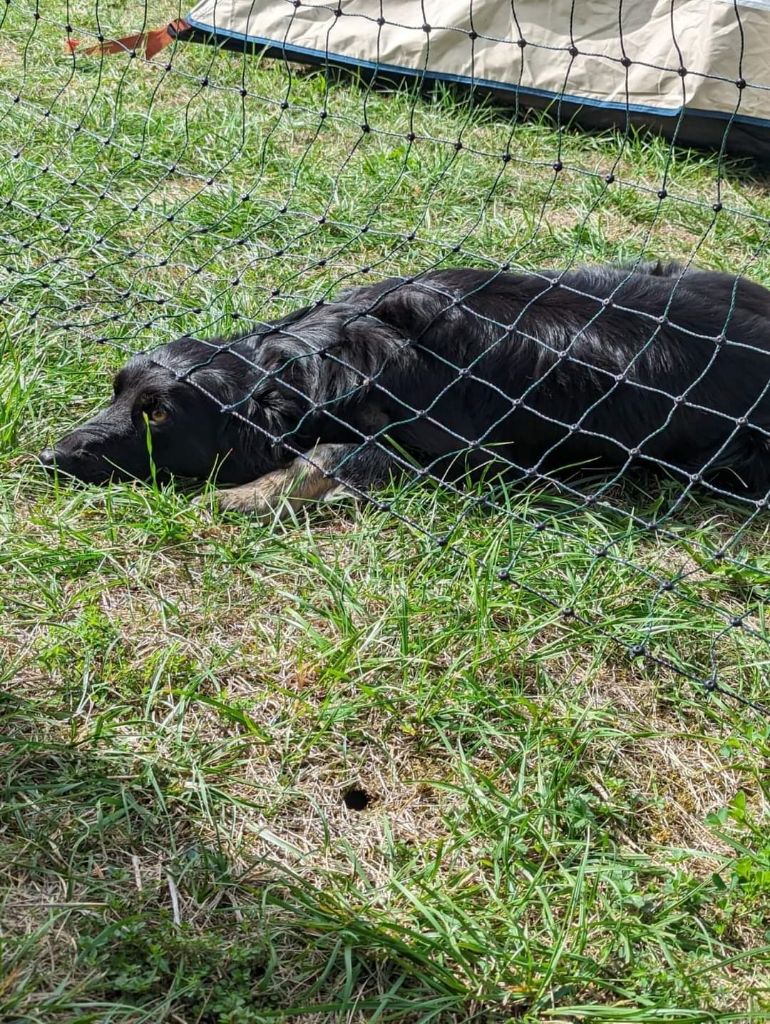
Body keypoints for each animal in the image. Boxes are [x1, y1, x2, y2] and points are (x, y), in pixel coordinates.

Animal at [41, 264, 770, 516]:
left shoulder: (462, 457)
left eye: (159, 414)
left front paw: (251, 493)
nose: (49, 457)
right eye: (116, 390)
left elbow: (333, 452)